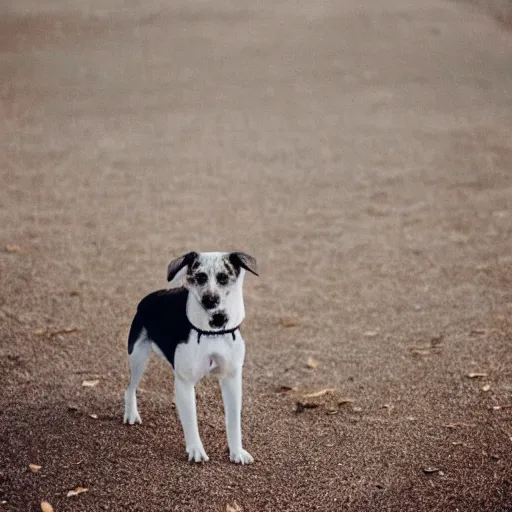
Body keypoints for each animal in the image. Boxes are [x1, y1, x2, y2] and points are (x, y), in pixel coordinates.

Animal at [122, 252, 258, 464]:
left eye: (223, 278)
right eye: (200, 277)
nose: (210, 300)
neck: (213, 332)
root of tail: (148, 298)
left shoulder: (232, 379)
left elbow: (234, 421)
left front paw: (236, 452)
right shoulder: (186, 382)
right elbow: (191, 421)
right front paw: (196, 450)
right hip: (138, 357)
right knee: (130, 388)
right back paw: (131, 414)